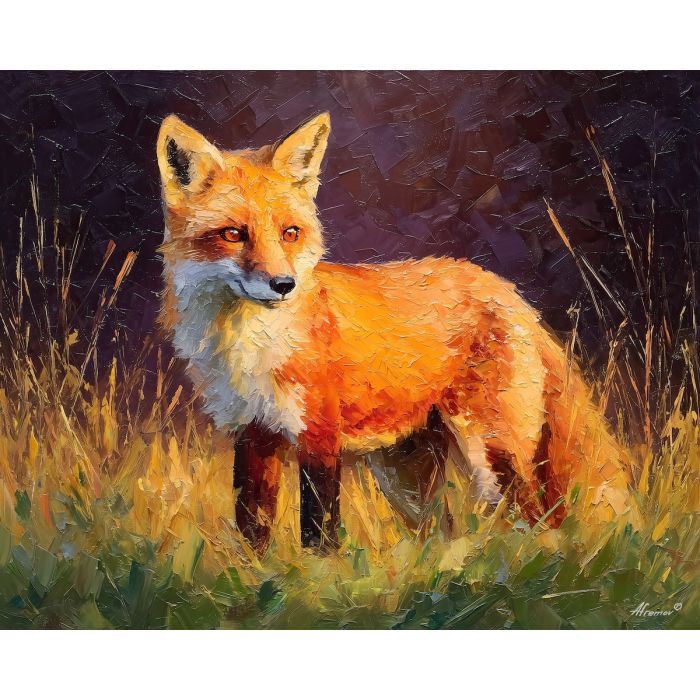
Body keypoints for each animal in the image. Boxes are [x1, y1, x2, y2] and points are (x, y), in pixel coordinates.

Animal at [156, 112, 634, 553]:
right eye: (233, 234)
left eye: (290, 233)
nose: (283, 284)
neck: (247, 347)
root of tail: (507, 290)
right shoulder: (252, 432)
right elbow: (252, 529)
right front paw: (260, 575)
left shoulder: (319, 434)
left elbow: (319, 531)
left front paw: (318, 576)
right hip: (406, 479)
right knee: (442, 535)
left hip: (492, 453)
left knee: (538, 524)